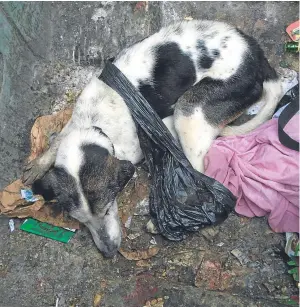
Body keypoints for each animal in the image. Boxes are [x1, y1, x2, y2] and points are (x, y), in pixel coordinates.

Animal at [22, 20, 284, 258]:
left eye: (107, 209)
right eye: (80, 220)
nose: (109, 252)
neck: (92, 123)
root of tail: (256, 53)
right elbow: (57, 142)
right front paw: (39, 165)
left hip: (190, 110)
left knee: (197, 169)